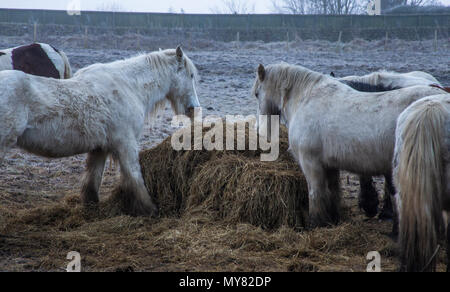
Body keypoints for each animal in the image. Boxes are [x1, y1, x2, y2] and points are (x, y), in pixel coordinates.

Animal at [0, 46, 200, 216]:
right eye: (190, 75)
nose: (194, 109)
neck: (129, 86)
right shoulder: (126, 144)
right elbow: (135, 176)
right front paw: (150, 210)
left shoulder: (100, 148)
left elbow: (92, 181)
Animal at [255, 63, 444, 228]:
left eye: (257, 93)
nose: (260, 129)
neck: (305, 99)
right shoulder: (329, 166)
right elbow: (332, 193)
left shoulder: (311, 164)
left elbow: (315, 194)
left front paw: (315, 224)